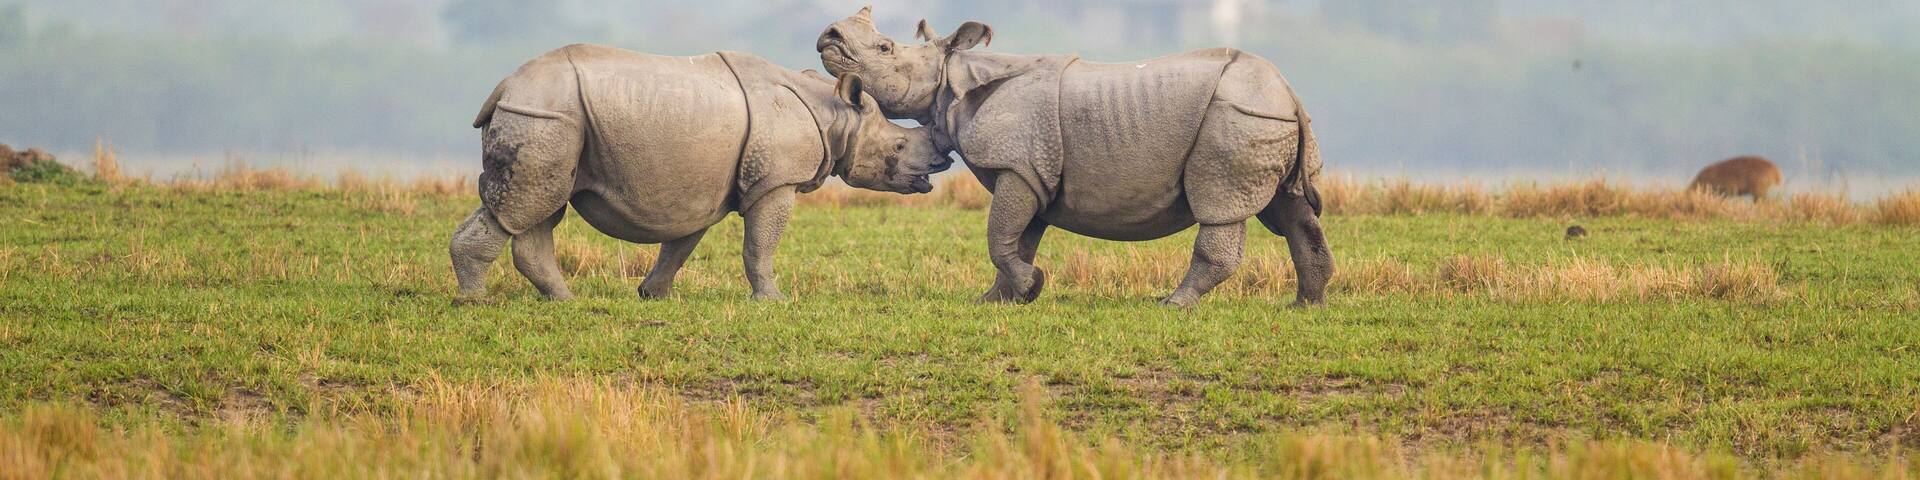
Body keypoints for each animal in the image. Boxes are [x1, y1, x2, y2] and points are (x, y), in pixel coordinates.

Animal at [451, 44, 948, 303]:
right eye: (898, 147)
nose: (939, 164)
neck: (836, 114)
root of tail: (503, 89)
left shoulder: (697, 189)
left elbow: (680, 244)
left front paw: (653, 295)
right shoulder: (775, 181)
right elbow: (760, 244)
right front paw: (772, 301)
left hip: (549, 119)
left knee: (537, 207)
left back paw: (563, 301)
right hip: (545, 116)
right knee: (525, 205)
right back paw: (474, 302)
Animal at [815, 9, 1333, 307]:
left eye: (884, 48)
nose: (829, 37)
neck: (952, 78)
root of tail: (1288, 91)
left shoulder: (1018, 165)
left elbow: (999, 236)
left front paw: (1030, 288)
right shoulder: (1032, 171)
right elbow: (1019, 238)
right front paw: (998, 300)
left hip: (1237, 116)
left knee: (1221, 207)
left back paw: (1173, 304)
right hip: (1262, 115)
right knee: (1291, 211)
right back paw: (1305, 305)